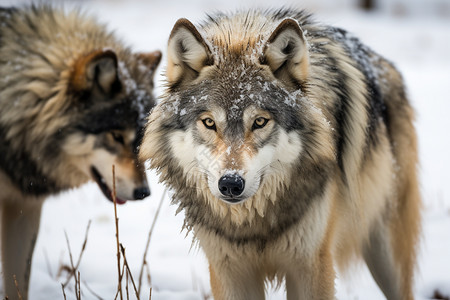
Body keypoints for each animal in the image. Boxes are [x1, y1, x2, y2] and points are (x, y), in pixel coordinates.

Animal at [139, 7, 420, 300]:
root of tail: (385, 64)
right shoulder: (229, 270)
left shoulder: (312, 265)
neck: (253, 224)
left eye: (260, 122)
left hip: (388, 256)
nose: (230, 184)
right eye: (209, 122)